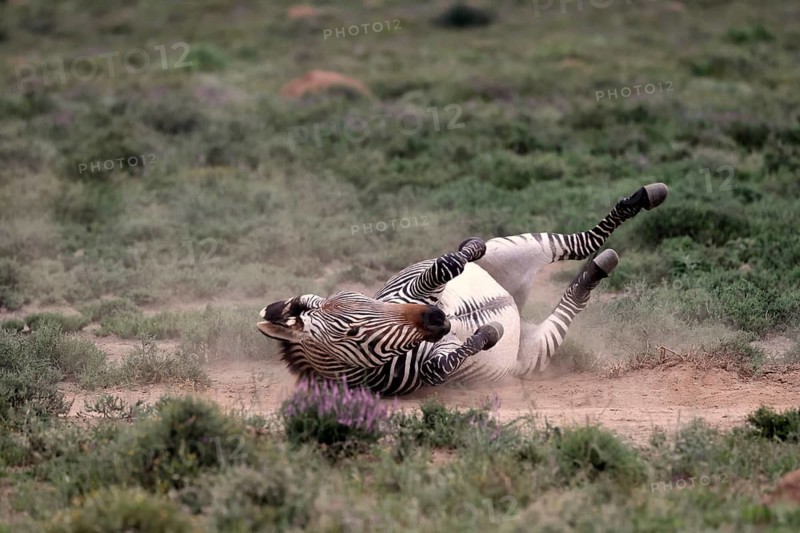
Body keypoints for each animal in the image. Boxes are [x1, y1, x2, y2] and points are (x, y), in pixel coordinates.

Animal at [258, 182, 668, 395]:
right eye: (354, 334)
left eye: (363, 299)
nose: (438, 317)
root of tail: (518, 302)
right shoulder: (431, 372)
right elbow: (442, 367)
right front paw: (489, 332)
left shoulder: (415, 289)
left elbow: (447, 264)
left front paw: (469, 248)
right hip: (534, 351)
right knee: (581, 271)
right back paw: (601, 265)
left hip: (516, 247)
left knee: (579, 243)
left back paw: (646, 197)